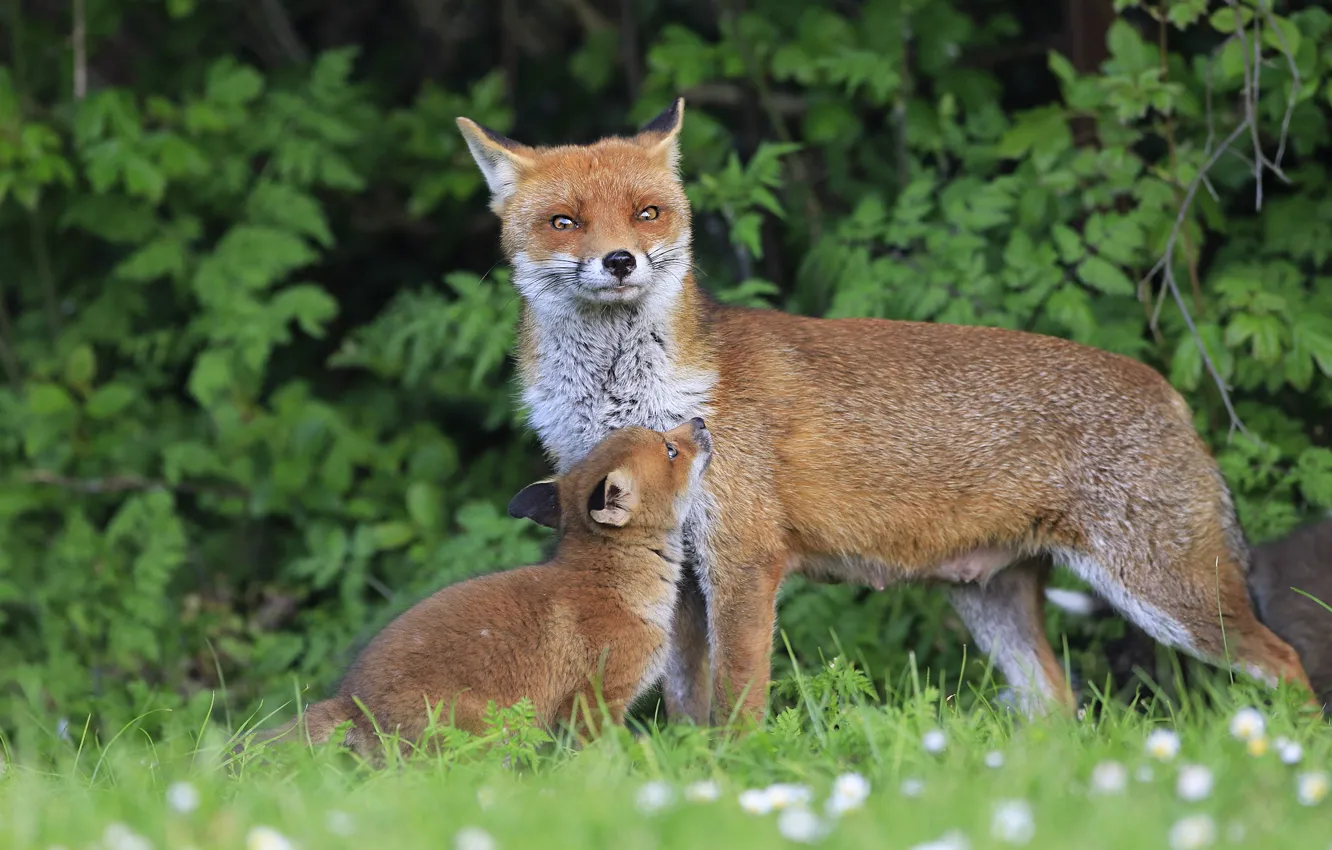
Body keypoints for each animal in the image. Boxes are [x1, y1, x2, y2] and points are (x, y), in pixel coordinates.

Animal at [237, 418, 713, 758]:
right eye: (670, 449)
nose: (700, 421)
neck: (620, 588)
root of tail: (351, 702)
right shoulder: (594, 702)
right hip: (480, 739)